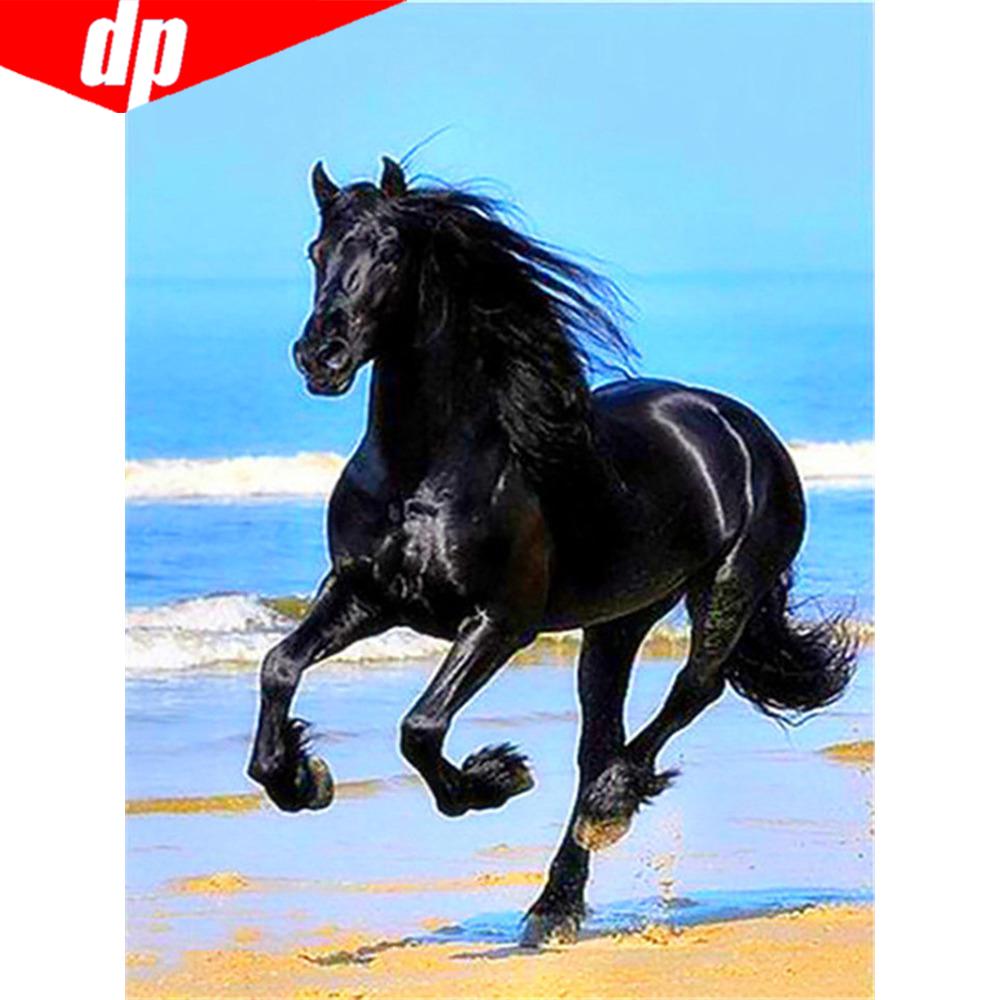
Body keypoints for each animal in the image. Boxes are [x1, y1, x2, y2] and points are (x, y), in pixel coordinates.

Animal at [247, 157, 857, 946]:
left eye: (388, 252)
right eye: (316, 253)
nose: (320, 356)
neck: (422, 472)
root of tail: (736, 423)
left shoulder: (499, 622)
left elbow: (420, 728)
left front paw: (496, 778)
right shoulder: (364, 596)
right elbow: (279, 666)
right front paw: (301, 779)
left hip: (727, 586)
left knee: (693, 690)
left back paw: (610, 807)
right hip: (618, 620)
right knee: (601, 734)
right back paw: (555, 903)